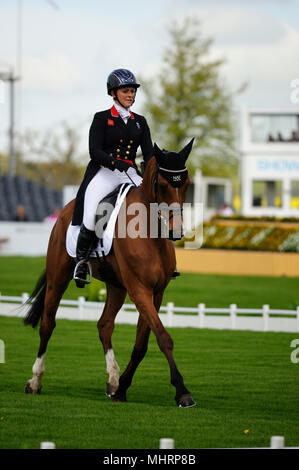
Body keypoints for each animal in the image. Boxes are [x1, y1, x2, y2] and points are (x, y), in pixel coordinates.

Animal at [23, 140, 197, 408]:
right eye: (163, 185)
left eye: (186, 184)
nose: (175, 232)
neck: (149, 232)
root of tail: (66, 210)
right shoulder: (139, 290)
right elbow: (163, 338)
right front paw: (182, 391)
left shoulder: (155, 292)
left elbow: (142, 344)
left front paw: (122, 388)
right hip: (57, 278)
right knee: (47, 324)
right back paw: (35, 381)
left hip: (116, 286)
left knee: (104, 325)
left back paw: (113, 380)